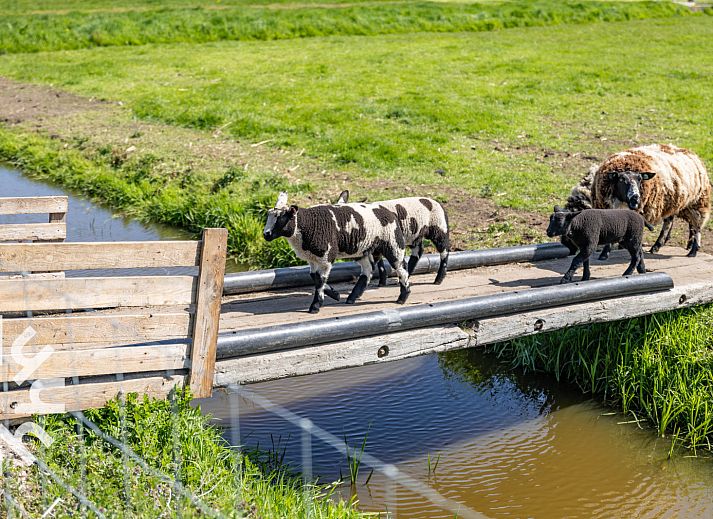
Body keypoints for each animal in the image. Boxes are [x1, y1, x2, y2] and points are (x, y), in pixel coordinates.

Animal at [263, 192, 411, 313]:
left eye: (281, 218)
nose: (266, 234)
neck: (307, 225)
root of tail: (388, 211)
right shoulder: (313, 258)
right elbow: (314, 276)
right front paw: (335, 294)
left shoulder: (326, 256)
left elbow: (320, 280)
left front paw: (315, 306)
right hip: (360, 249)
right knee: (367, 270)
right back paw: (351, 298)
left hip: (393, 244)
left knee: (401, 269)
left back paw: (403, 297)